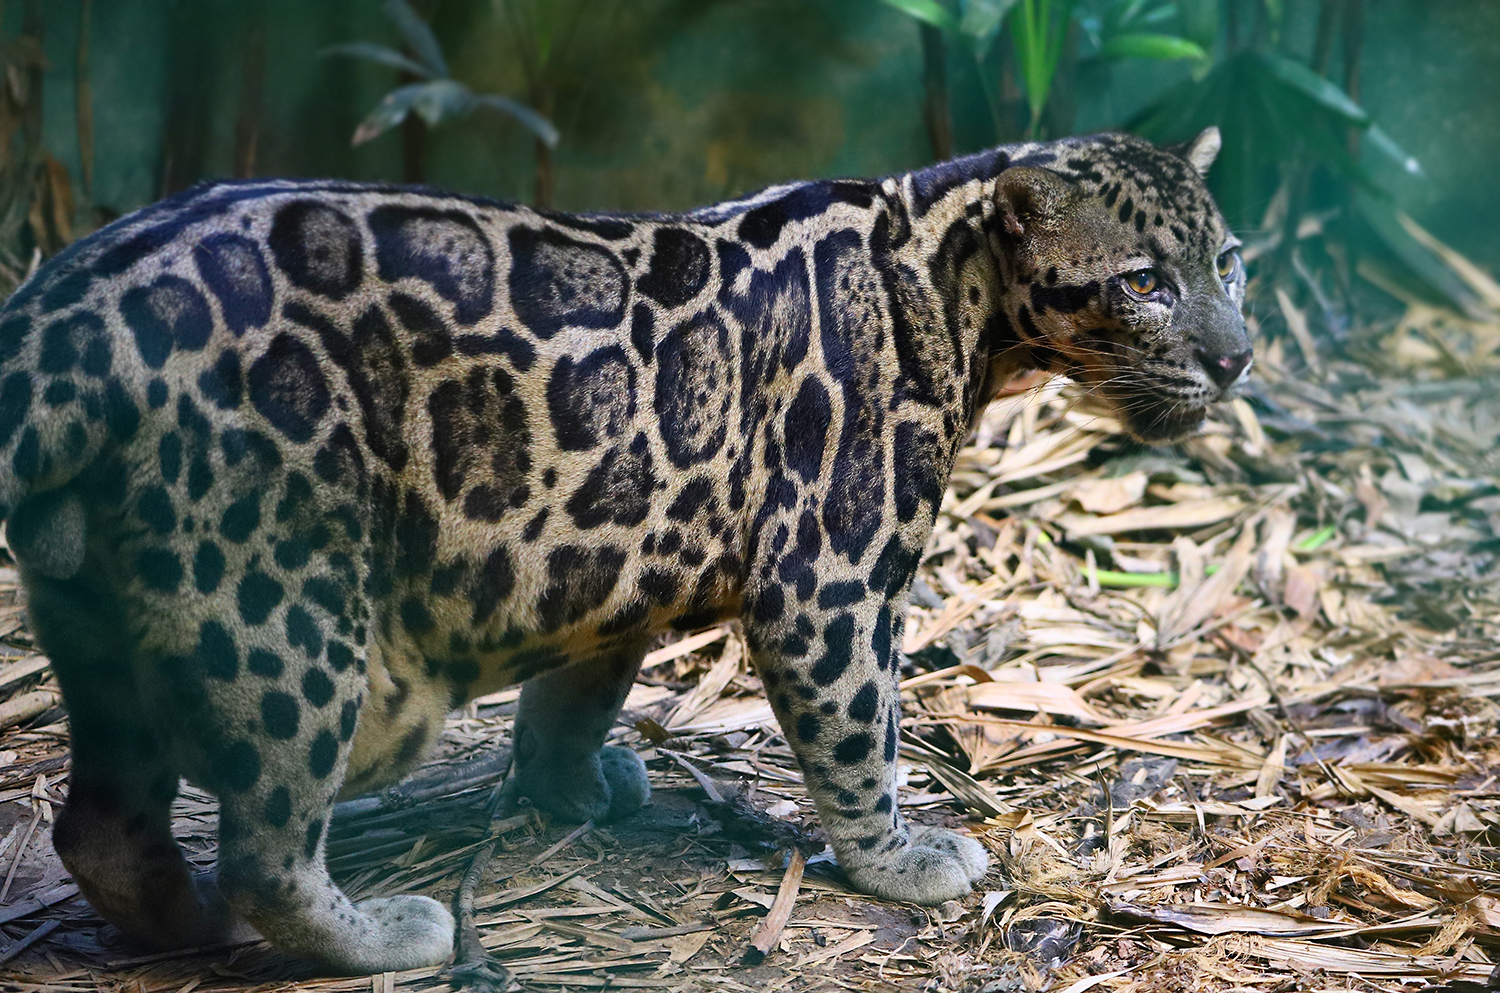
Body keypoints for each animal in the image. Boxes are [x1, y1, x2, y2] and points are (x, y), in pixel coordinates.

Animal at [0, 126, 1248, 975]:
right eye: (1145, 282)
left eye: (1230, 260)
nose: (1237, 357)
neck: (958, 293)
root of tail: (61, 314)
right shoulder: (833, 576)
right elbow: (862, 730)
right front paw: (899, 861)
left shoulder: (607, 563)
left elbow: (576, 693)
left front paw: (571, 787)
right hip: (282, 601)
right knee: (265, 838)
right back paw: (383, 934)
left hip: (103, 609)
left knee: (103, 827)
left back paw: (189, 923)